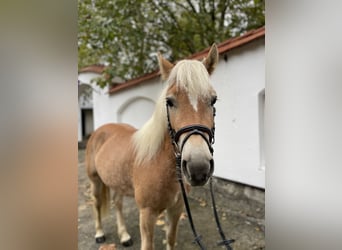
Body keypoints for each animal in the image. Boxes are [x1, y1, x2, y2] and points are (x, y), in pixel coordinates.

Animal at [85, 44, 219, 249]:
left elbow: (170, 239)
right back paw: (99, 233)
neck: (158, 163)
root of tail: (100, 130)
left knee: (117, 203)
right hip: (95, 181)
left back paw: (124, 236)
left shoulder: (176, 209)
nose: (198, 167)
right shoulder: (147, 214)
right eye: (169, 101)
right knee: (97, 203)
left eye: (213, 100)